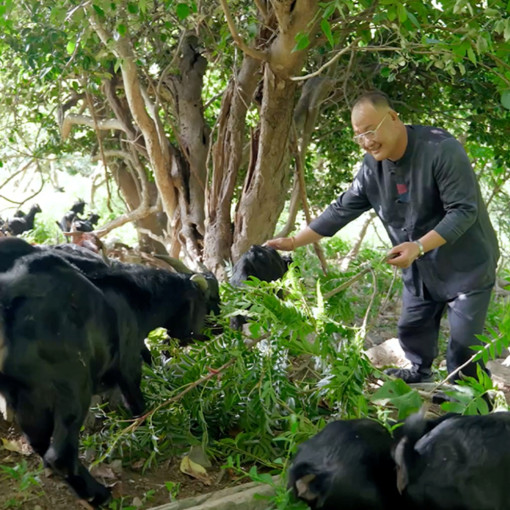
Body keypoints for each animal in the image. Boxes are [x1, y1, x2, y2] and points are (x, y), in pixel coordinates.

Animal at [0, 249, 142, 504]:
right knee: (60, 455)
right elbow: (134, 394)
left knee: (42, 443)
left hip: (27, 398)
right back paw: (97, 494)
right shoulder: (129, 358)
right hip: (74, 386)